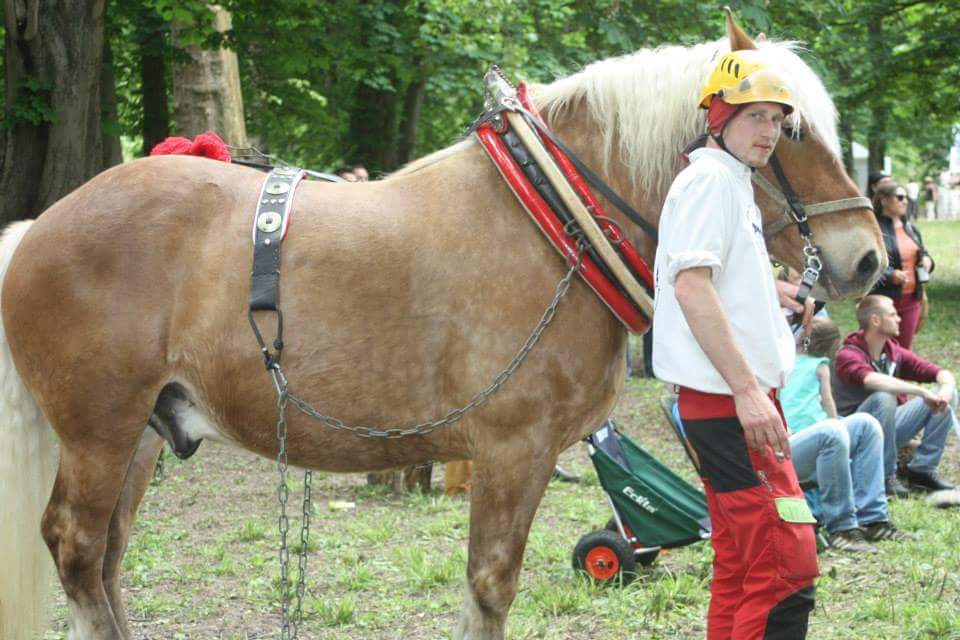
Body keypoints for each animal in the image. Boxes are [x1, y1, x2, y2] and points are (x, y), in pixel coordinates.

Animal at [0, 16, 884, 640]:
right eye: (791, 128)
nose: (869, 258)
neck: (553, 216)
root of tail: (40, 224)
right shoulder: (512, 449)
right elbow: (491, 587)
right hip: (100, 431)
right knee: (77, 549)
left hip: (142, 433)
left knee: (108, 559)